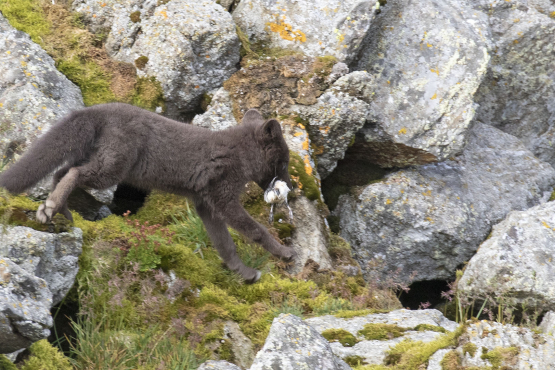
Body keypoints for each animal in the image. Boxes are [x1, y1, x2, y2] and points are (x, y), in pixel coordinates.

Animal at [0, 102, 296, 282]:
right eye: (284, 162)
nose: (290, 187)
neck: (240, 154)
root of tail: (99, 108)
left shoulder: (204, 203)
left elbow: (224, 244)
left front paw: (244, 273)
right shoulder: (222, 195)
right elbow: (255, 230)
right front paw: (284, 253)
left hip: (95, 158)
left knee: (61, 172)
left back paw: (60, 211)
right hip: (112, 168)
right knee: (71, 173)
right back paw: (50, 208)